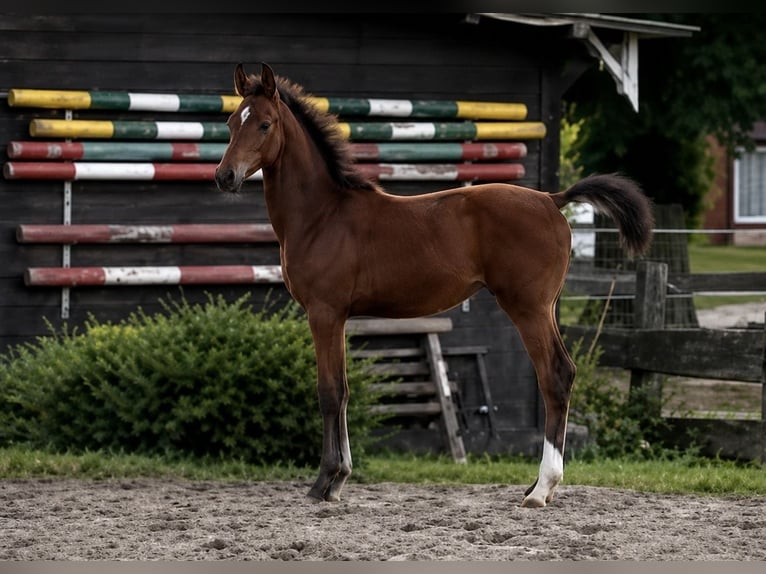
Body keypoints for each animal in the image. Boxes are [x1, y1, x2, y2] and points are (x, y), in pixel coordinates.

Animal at [214, 62, 654, 508]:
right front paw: (340, 479)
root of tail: (551, 198)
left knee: (555, 376)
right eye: (232, 122)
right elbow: (346, 391)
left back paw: (542, 489)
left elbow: (329, 392)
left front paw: (324, 481)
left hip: (527, 307)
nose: (224, 176)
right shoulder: (340, 317)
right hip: (544, 308)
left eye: (265, 124)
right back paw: (535, 486)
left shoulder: (324, 313)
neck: (324, 215)